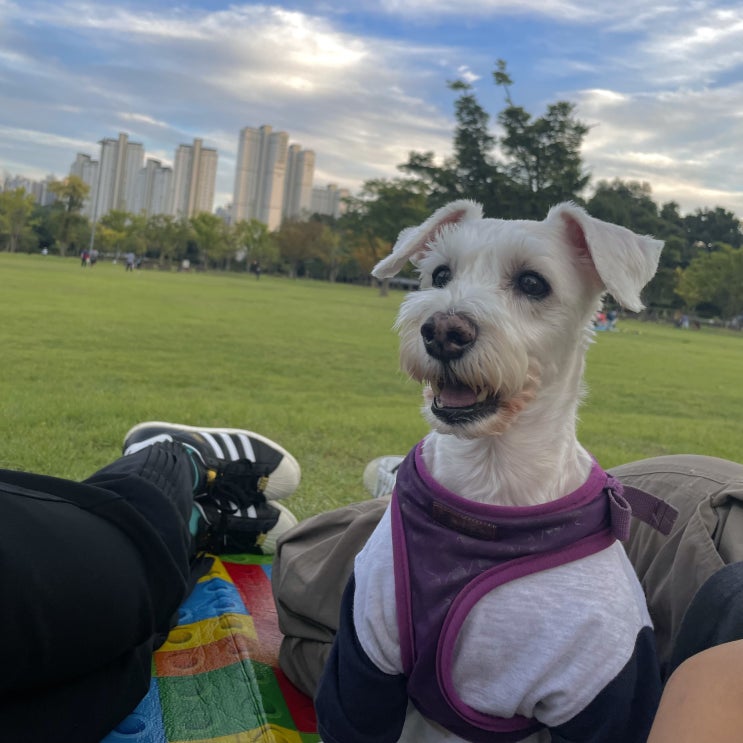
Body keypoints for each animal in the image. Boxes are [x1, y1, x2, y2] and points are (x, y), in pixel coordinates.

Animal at [315, 201, 666, 742]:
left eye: (533, 283)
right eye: (440, 274)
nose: (442, 331)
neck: (489, 475)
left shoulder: (605, 680)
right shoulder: (366, 648)